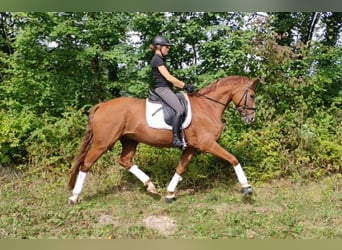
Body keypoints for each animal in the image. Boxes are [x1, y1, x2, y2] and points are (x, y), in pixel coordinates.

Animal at [68, 75, 256, 203]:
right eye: (253, 96)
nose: (251, 119)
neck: (208, 107)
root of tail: (101, 105)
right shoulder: (208, 144)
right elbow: (233, 159)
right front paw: (246, 188)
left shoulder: (191, 147)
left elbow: (180, 168)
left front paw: (170, 193)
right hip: (102, 143)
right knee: (86, 164)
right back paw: (74, 197)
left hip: (130, 140)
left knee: (125, 161)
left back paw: (151, 186)